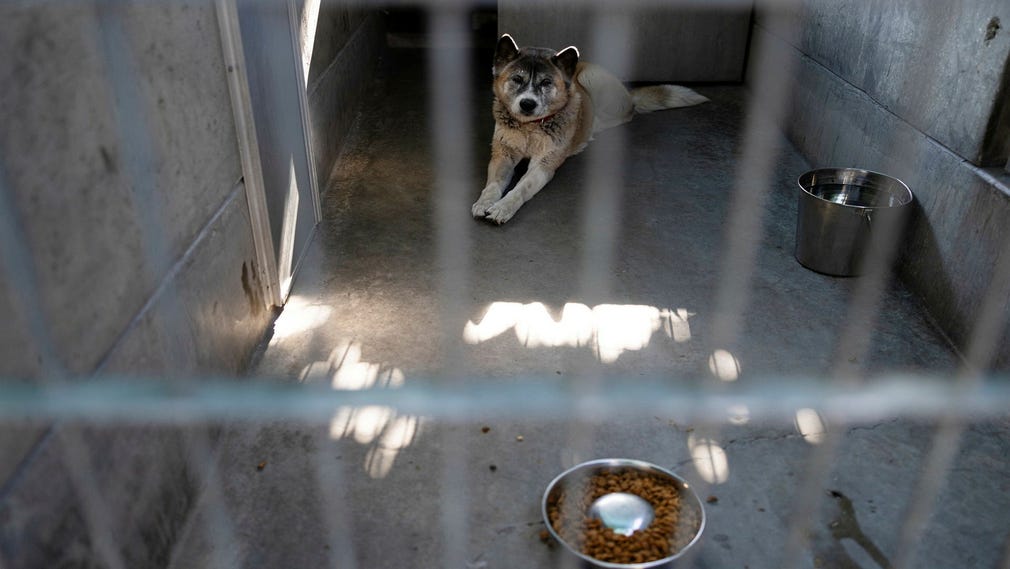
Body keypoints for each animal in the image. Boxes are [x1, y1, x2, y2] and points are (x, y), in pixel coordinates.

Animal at [468, 32, 707, 225]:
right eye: (517, 79)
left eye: (546, 83)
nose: (527, 104)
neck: (530, 128)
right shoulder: (503, 155)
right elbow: (493, 185)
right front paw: (484, 202)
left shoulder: (544, 165)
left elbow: (520, 189)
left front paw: (502, 208)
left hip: (591, 81)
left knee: (624, 113)